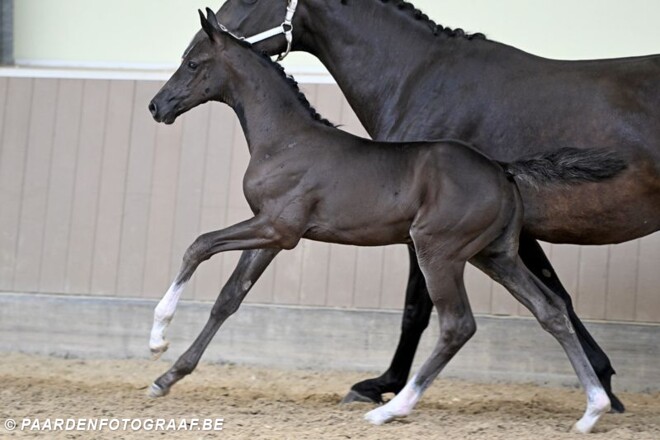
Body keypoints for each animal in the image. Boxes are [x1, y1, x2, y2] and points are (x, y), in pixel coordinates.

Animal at [147, 9, 627, 433]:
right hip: (496, 256)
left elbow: (198, 245)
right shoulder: (270, 233)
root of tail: (503, 169)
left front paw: (157, 339)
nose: (156, 106)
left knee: (458, 325)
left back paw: (390, 409)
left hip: (438, 253)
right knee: (551, 310)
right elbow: (229, 297)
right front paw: (166, 377)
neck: (285, 140)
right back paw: (592, 410)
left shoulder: (278, 229)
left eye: (192, 63)